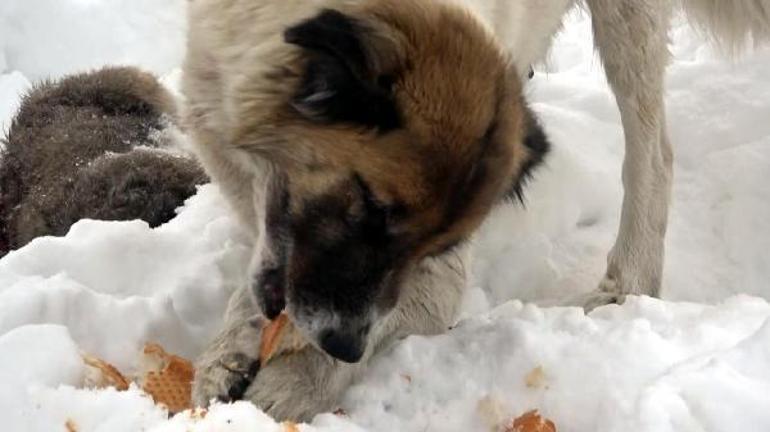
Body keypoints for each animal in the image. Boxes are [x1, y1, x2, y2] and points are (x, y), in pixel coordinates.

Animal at [182, 0, 768, 422]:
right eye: (371, 210)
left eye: (425, 244)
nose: (345, 346)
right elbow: (264, 264)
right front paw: (229, 351)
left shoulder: (435, 278)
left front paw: (289, 383)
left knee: (654, 152)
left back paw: (626, 283)